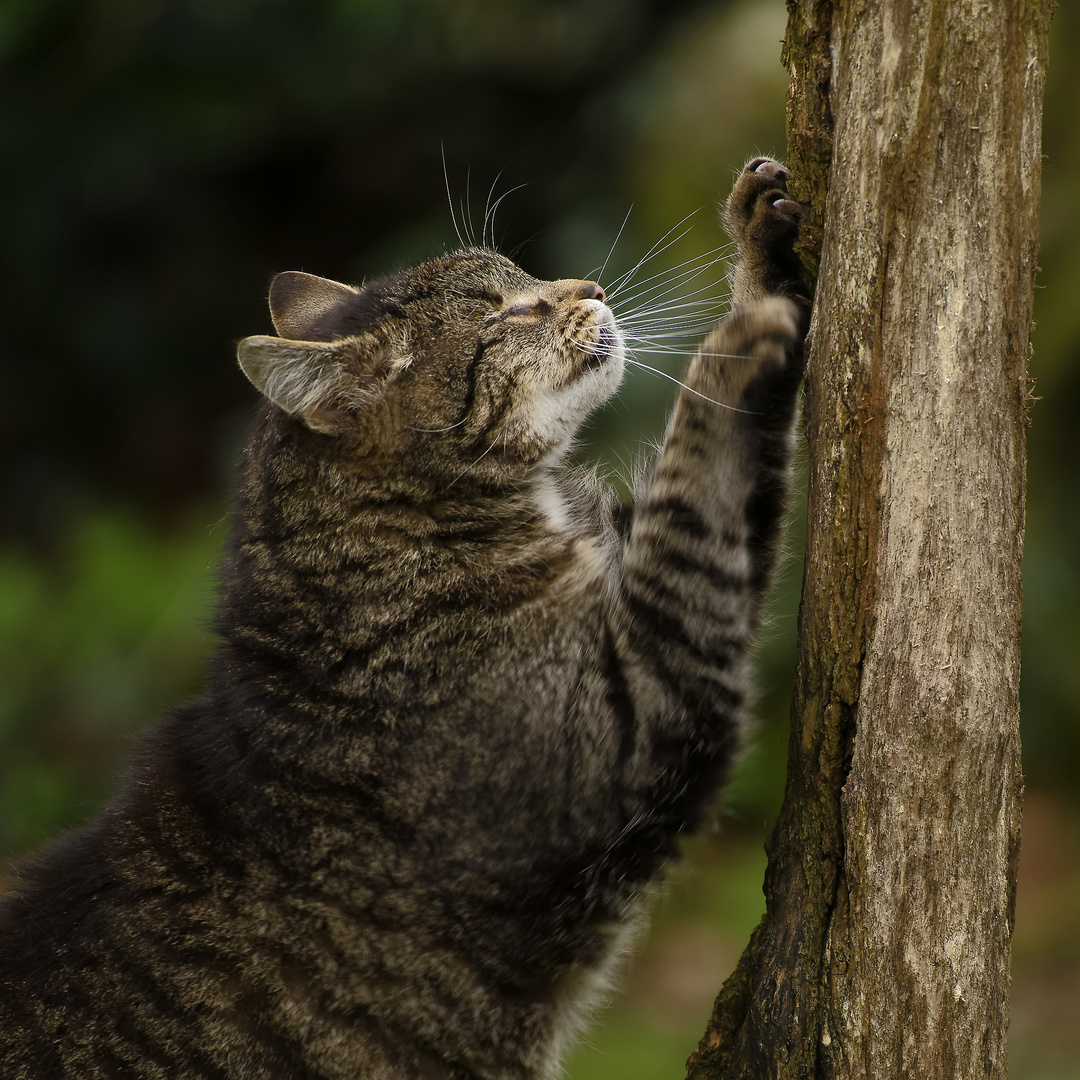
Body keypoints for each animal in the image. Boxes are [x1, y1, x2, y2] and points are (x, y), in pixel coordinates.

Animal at [0, 156, 807, 1075]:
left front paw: (764, 249)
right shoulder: (646, 710)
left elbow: (747, 487)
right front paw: (733, 342)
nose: (592, 285)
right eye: (506, 311)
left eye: (523, 274)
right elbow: (697, 482)